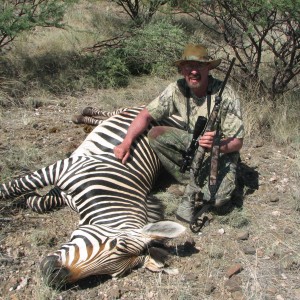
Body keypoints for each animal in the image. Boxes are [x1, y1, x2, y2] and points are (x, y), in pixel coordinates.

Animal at [1, 106, 186, 288]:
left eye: (111, 275)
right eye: (116, 244)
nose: (54, 276)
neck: (108, 195)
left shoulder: (63, 188)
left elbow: (39, 202)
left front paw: (30, 196)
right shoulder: (64, 168)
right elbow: (15, 187)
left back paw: (81, 117)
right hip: (136, 110)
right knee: (115, 112)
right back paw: (84, 113)